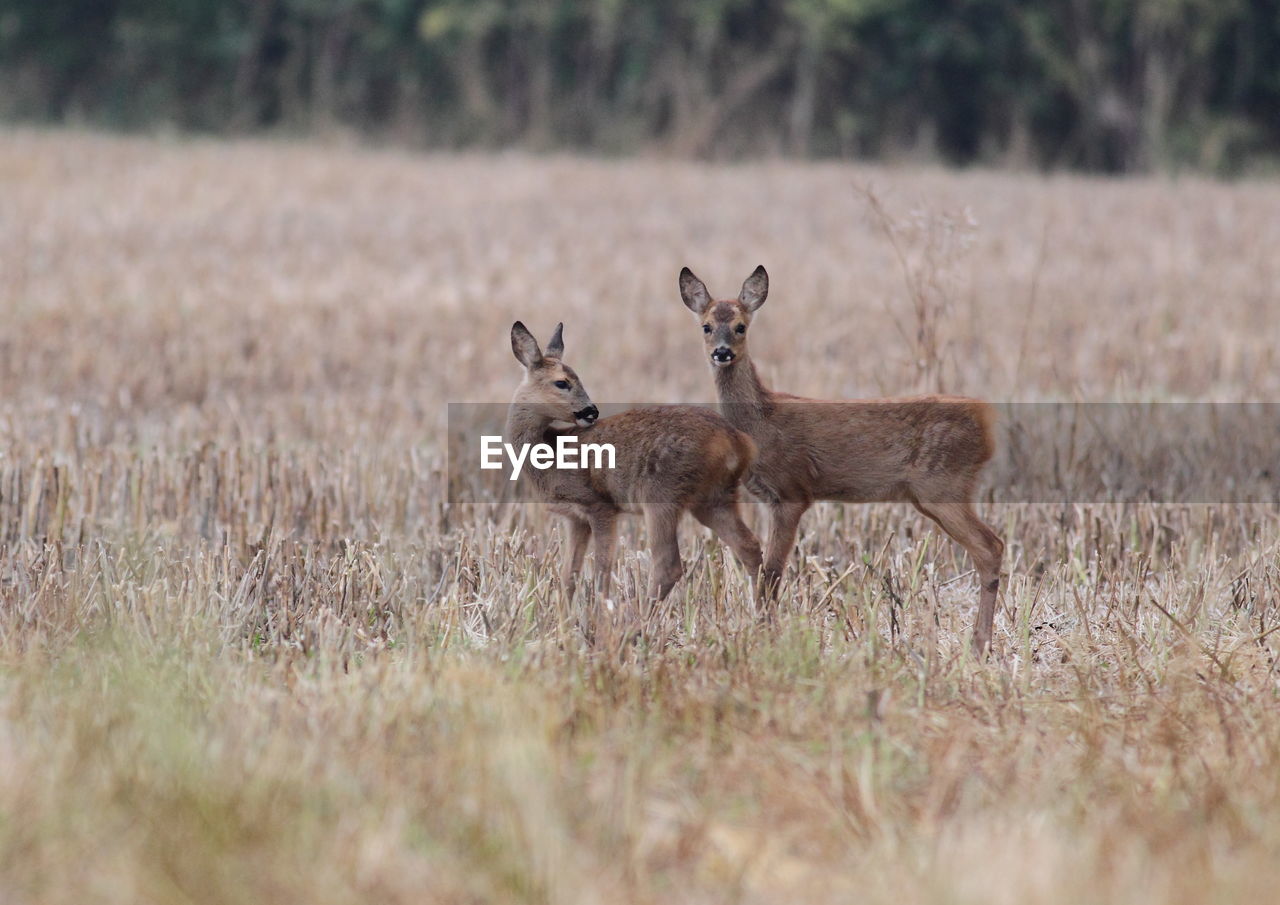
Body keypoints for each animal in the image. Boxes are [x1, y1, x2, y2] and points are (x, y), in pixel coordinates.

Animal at [504, 320, 762, 616]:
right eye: (562, 382)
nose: (591, 411)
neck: (551, 450)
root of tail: (738, 441)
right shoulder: (574, 517)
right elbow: (568, 574)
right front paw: (564, 618)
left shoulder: (599, 505)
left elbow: (601, 569)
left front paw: (598, 613)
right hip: (714, 499)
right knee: (750, 547)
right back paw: (763, 612)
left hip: (662, 494)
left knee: (668, 564)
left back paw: (636, 619)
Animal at [675, 264, 1003, 655]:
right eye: (706, 326)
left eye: (741, 326)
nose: (722, 352)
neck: (761, 422)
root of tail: (987, 422)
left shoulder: (792, 491)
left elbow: (772, 572)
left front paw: (768, 635)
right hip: (932, 495)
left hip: (944, 484)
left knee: (990, 547)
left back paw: (980, 645)